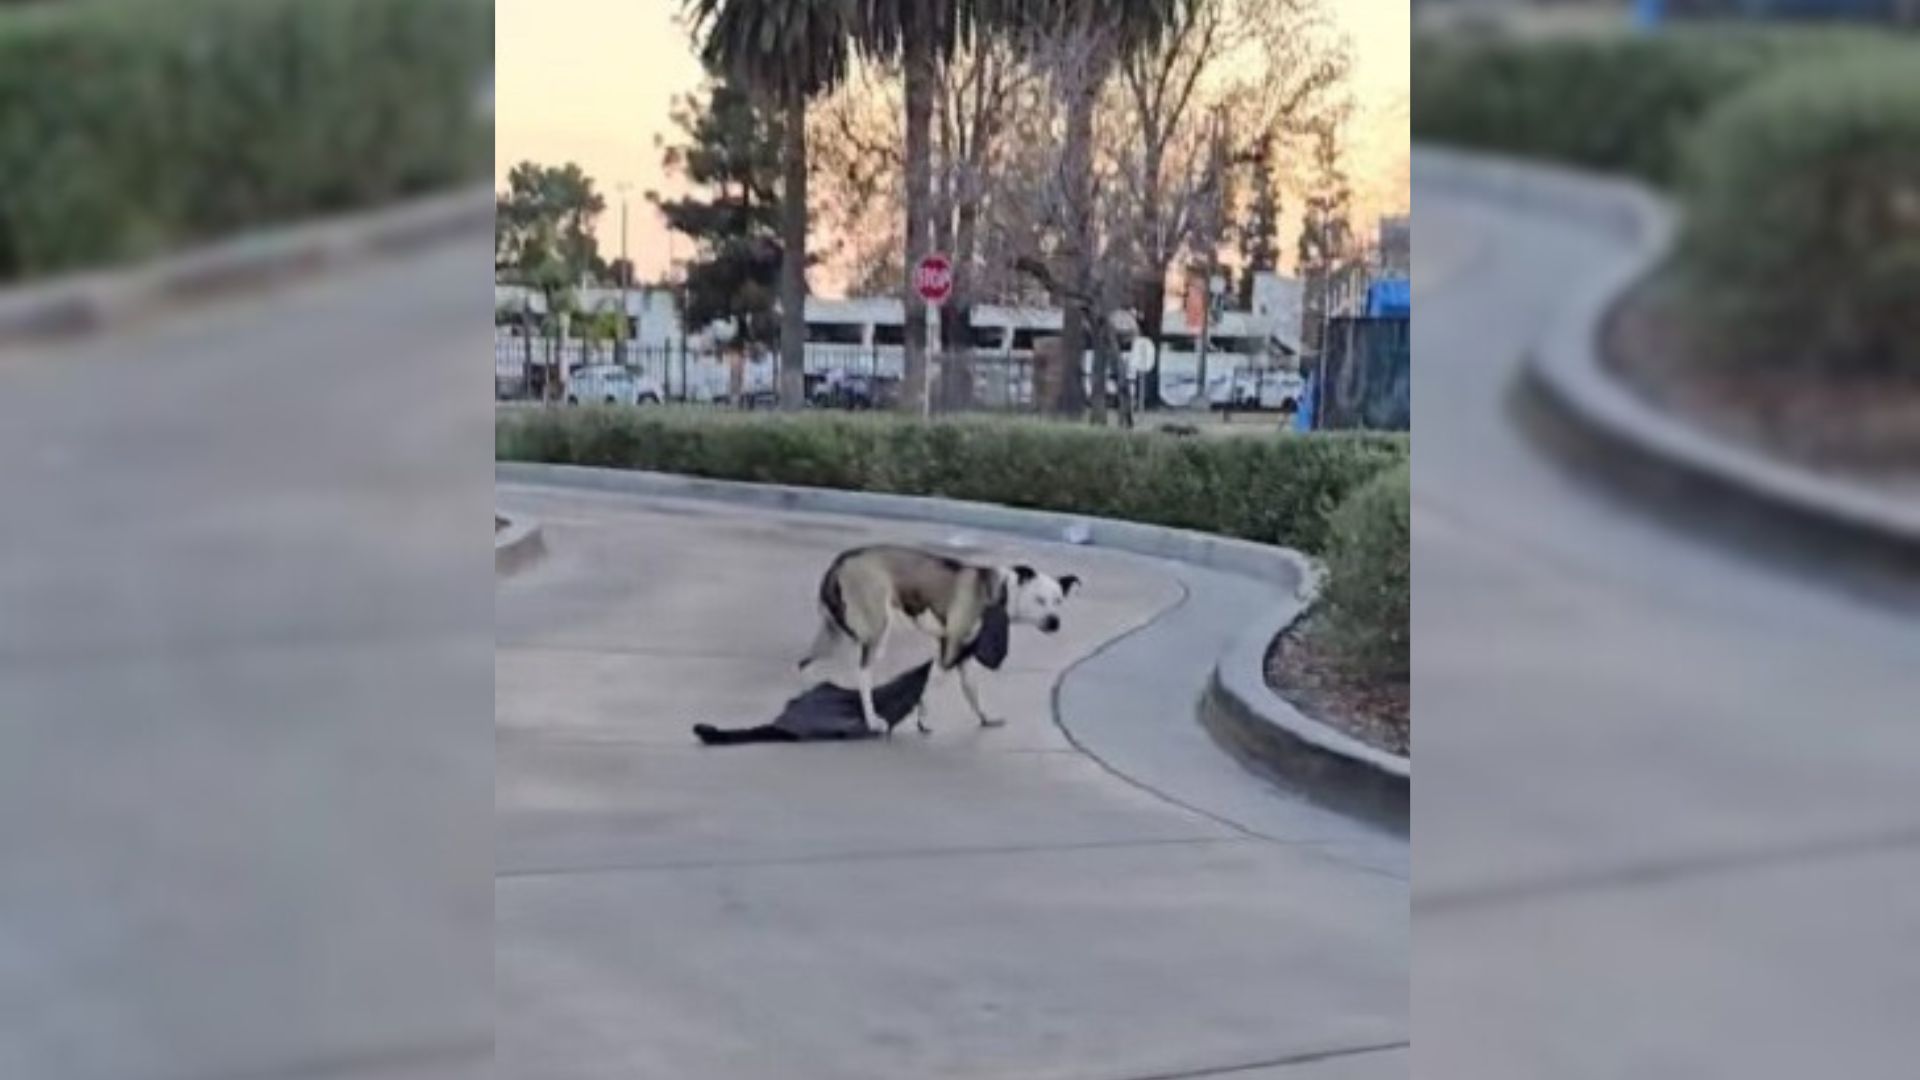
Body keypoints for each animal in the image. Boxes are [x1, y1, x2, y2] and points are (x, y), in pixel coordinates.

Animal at [794, 541, 1082, 734]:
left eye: (1058, 600)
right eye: (1039, 600)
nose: (1055, 622)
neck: (999, 591)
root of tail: (840, 562)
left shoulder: (964, 654)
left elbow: (972, 692)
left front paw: (986, 718)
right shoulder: (951, 648)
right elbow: (932, 684)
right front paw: (923, 718)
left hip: (835, 634)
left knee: (805, 661)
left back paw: (805, 698)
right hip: (876, 633)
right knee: (863, 675)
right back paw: (872, 720)